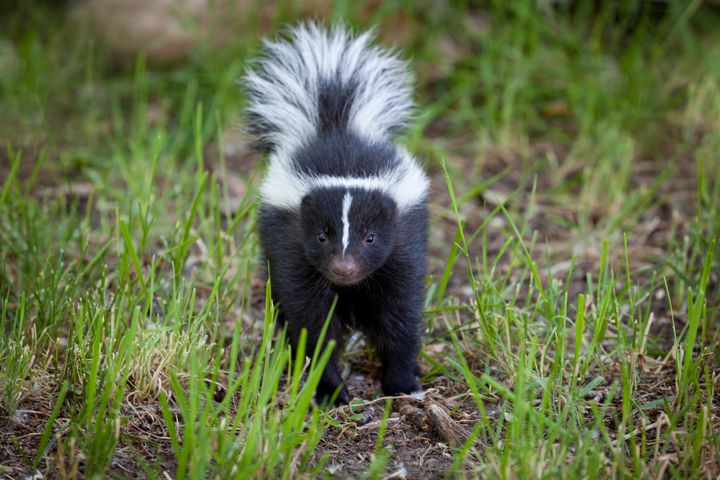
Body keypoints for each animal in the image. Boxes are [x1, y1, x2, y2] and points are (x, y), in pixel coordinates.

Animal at [245, 23, 430, 404]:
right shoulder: (293, 251)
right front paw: (329, 390)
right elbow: (313, 324)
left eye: (371, 237)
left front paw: (403, 382)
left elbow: (400, 317)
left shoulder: (403, 250)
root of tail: (335, 126)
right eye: (321, 235)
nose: (344, 267)